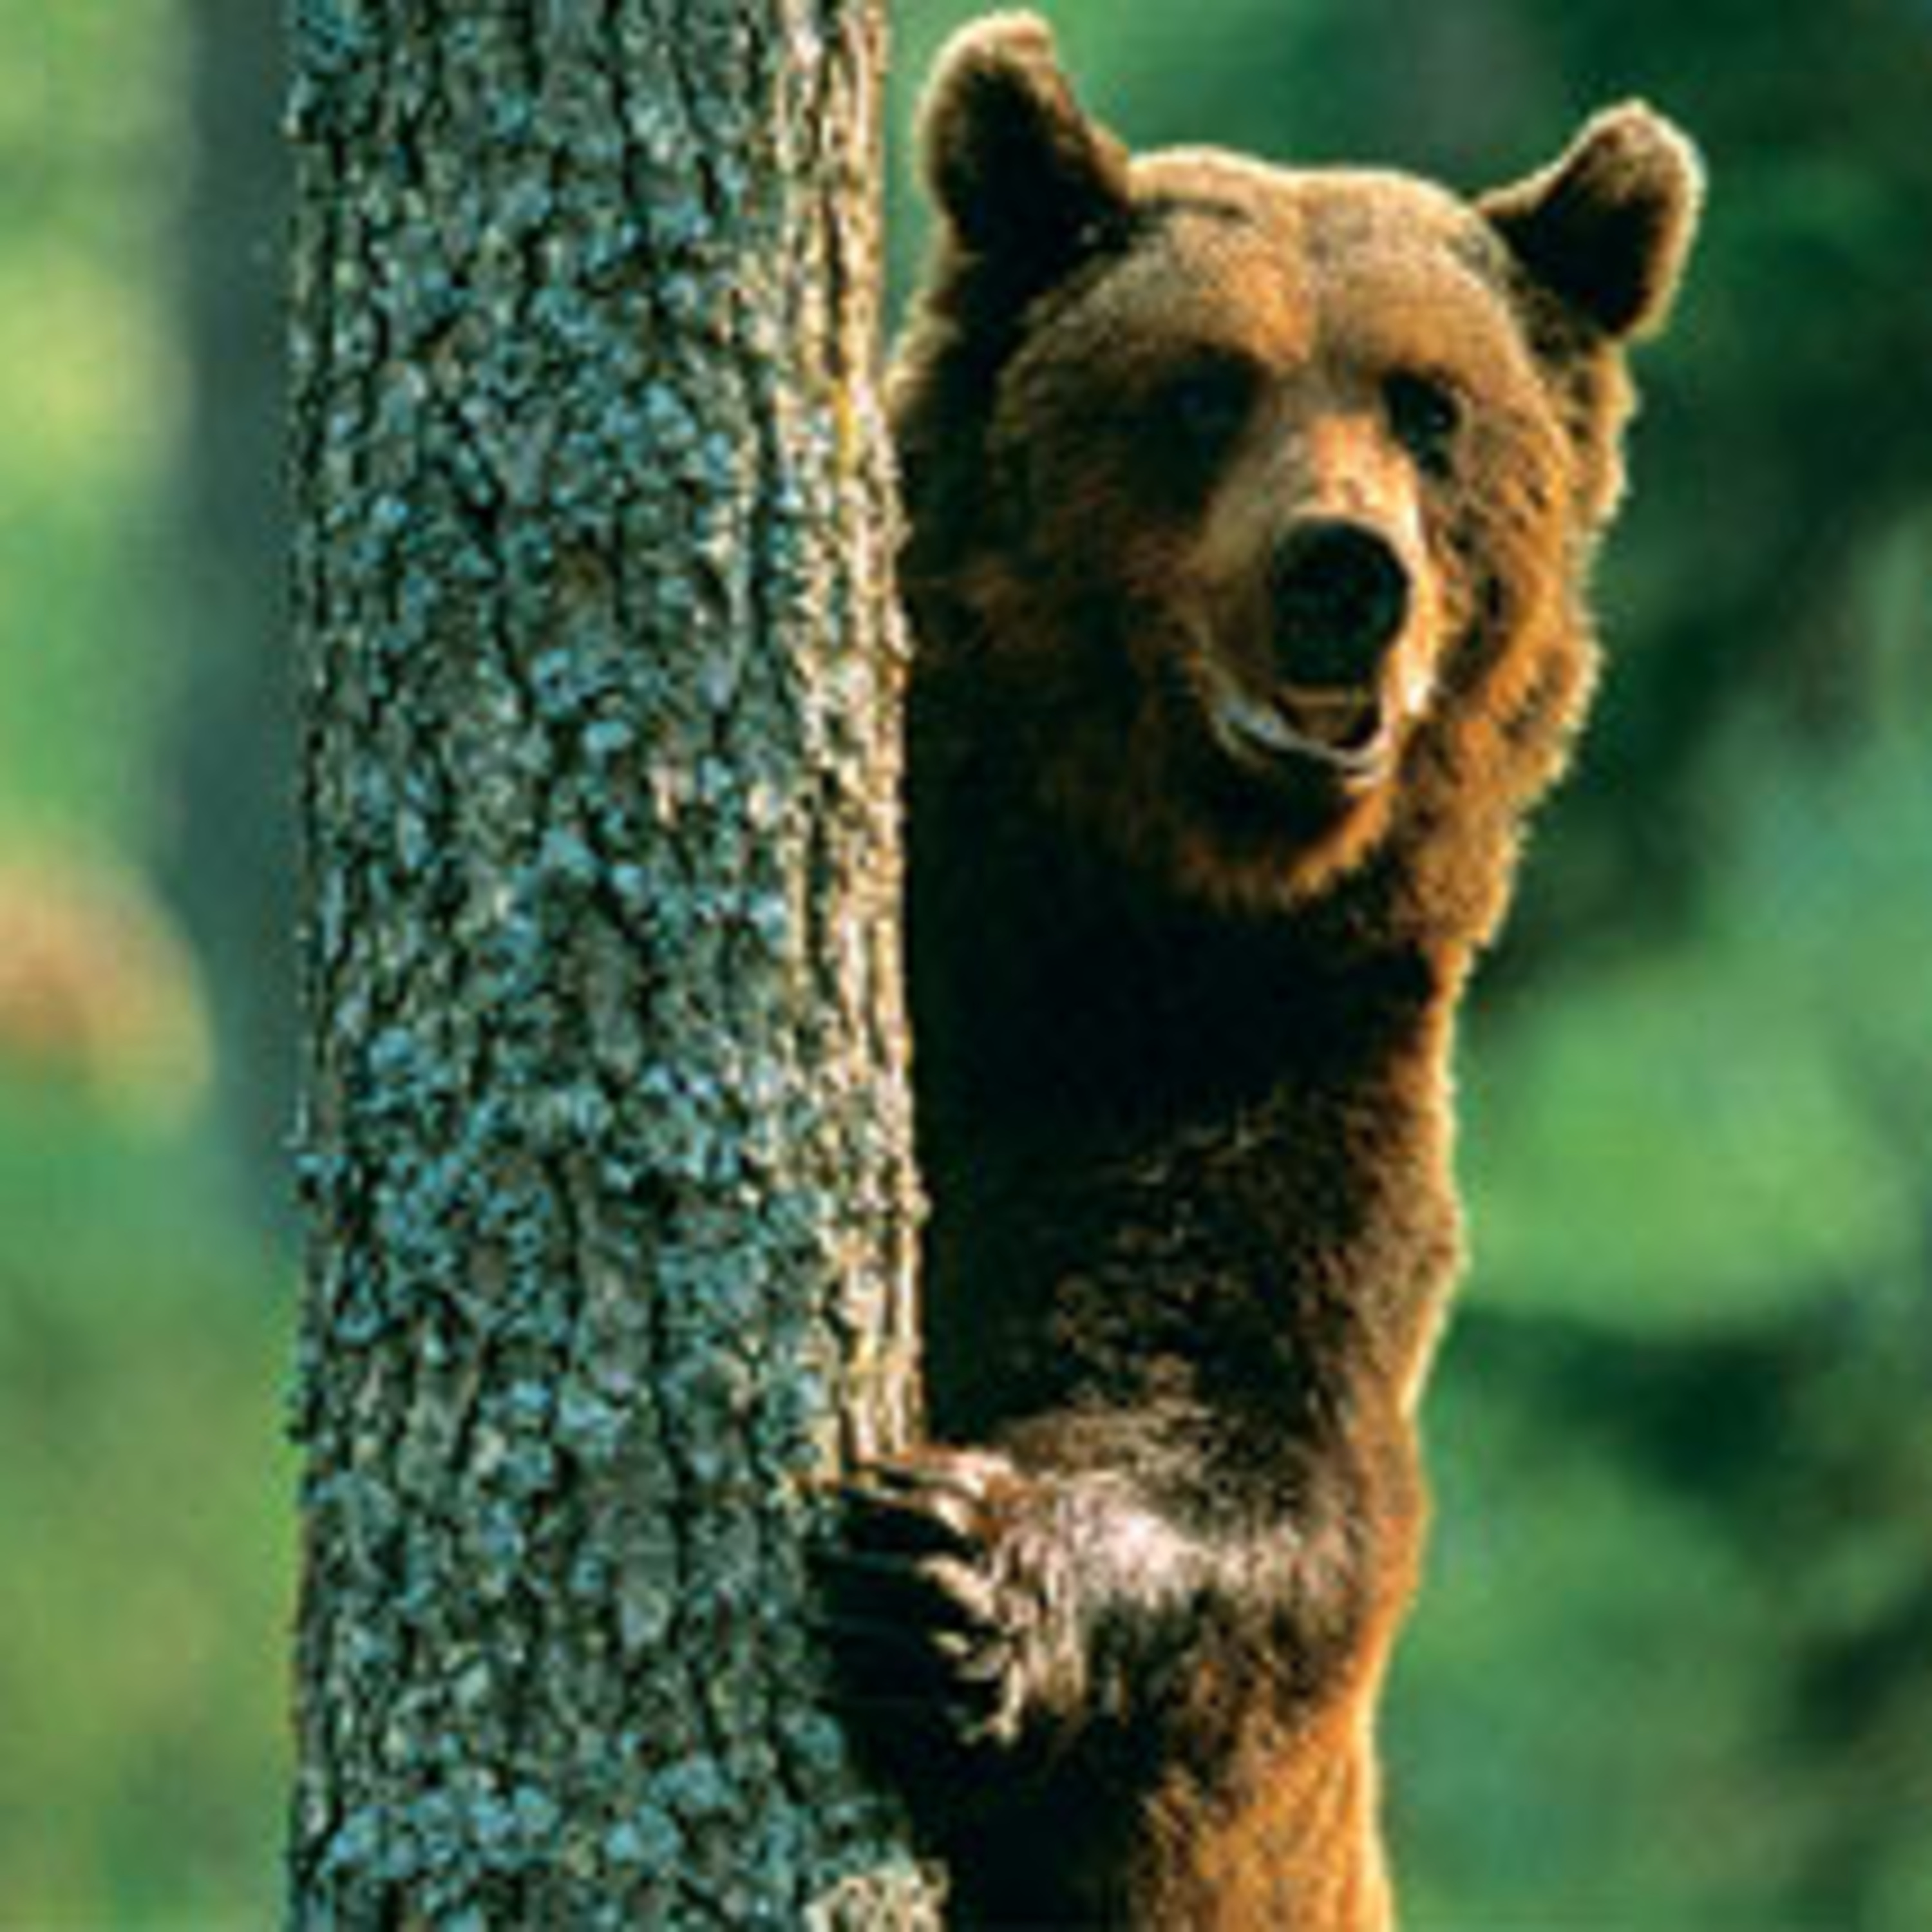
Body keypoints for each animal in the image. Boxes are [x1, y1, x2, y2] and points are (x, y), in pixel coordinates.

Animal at [817, 15, 1701, 1929]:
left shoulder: (1275, 1066)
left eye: (1430, 405)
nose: (1342, 573)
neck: (1110, 915)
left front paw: (950, 1573)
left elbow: (1261, 1463)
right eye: (1205, 387)